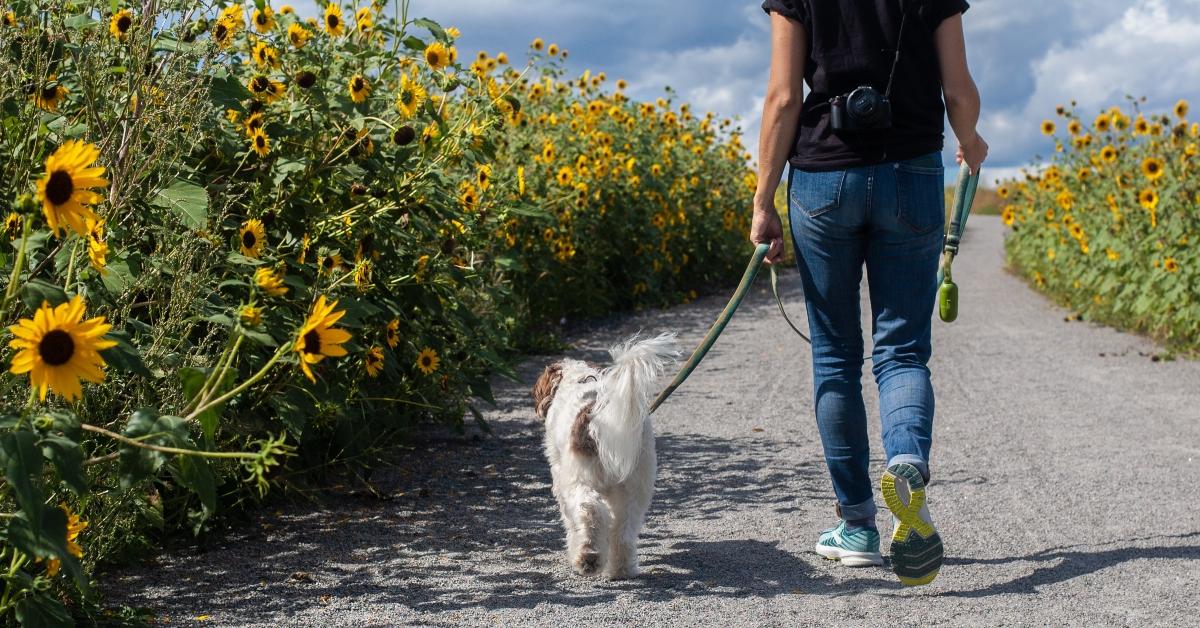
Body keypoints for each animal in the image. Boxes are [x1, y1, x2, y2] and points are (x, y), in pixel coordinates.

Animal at [532, 333, 681, 581]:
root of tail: (597, 415)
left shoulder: (560, 477)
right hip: (635, 486)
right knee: (624, 531)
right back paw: (622, 569)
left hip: (580, 480)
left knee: (590, 511)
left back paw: (588, 557)